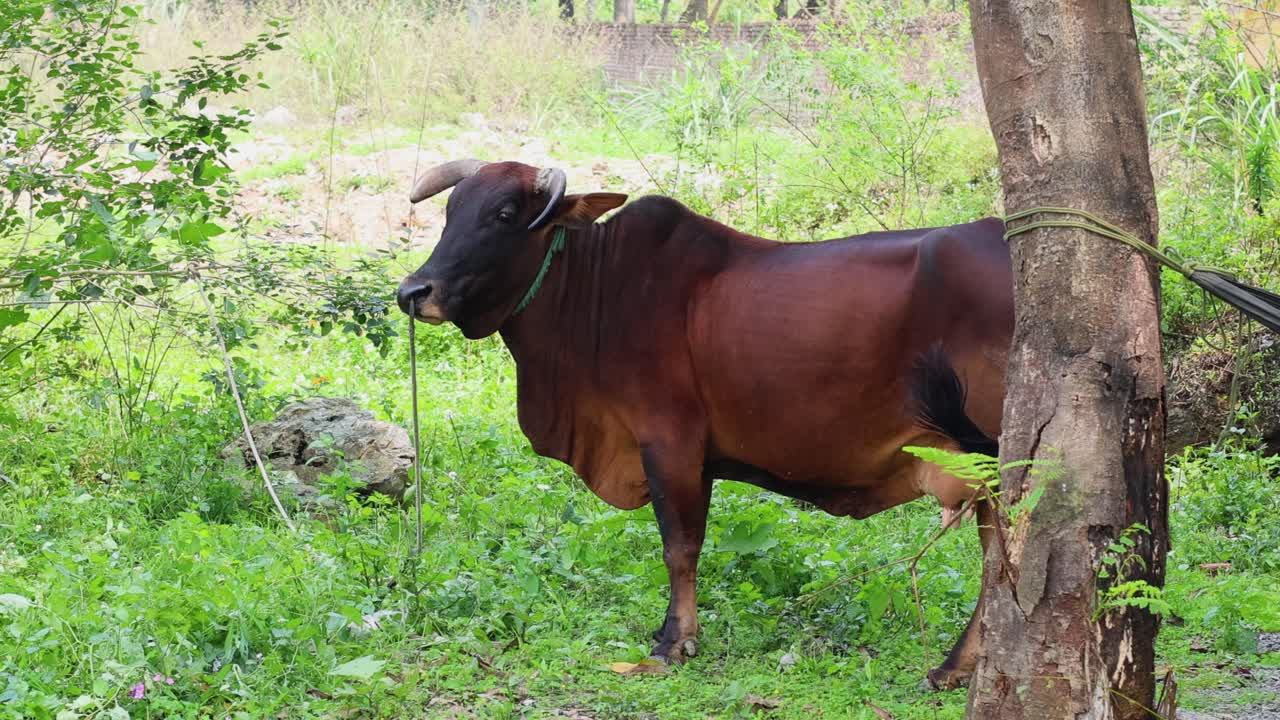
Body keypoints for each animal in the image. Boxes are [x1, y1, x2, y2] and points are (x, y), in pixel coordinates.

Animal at [395, 159, 1013, 689]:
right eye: (451, 209)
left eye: (504, 214)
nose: (413, 292)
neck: (598, 288)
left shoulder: (668, 444)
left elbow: (679, 546)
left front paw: (675, 641)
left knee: (998, 559)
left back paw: (954, 665)